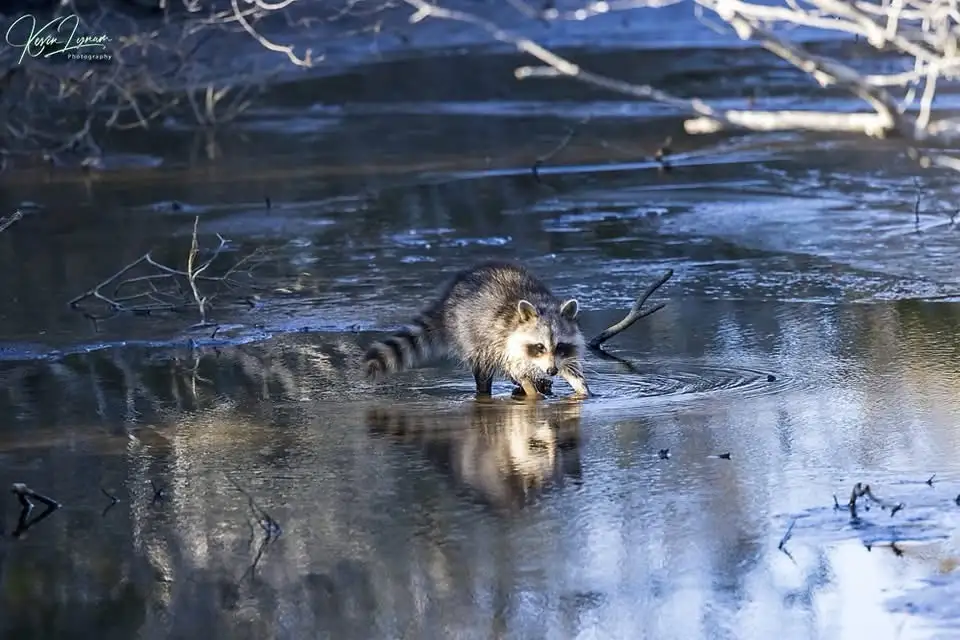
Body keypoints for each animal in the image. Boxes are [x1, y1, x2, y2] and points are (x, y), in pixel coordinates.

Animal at [363, 261, 590, 398]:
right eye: (539, 346)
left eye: (559, 346)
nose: (551, 371)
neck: (540, 304)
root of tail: (448, 299)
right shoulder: (503, 340)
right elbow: (515, 367)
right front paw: (532, 392)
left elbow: (570, 367)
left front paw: (583, 389)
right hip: (469, 334)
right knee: (483, 368)